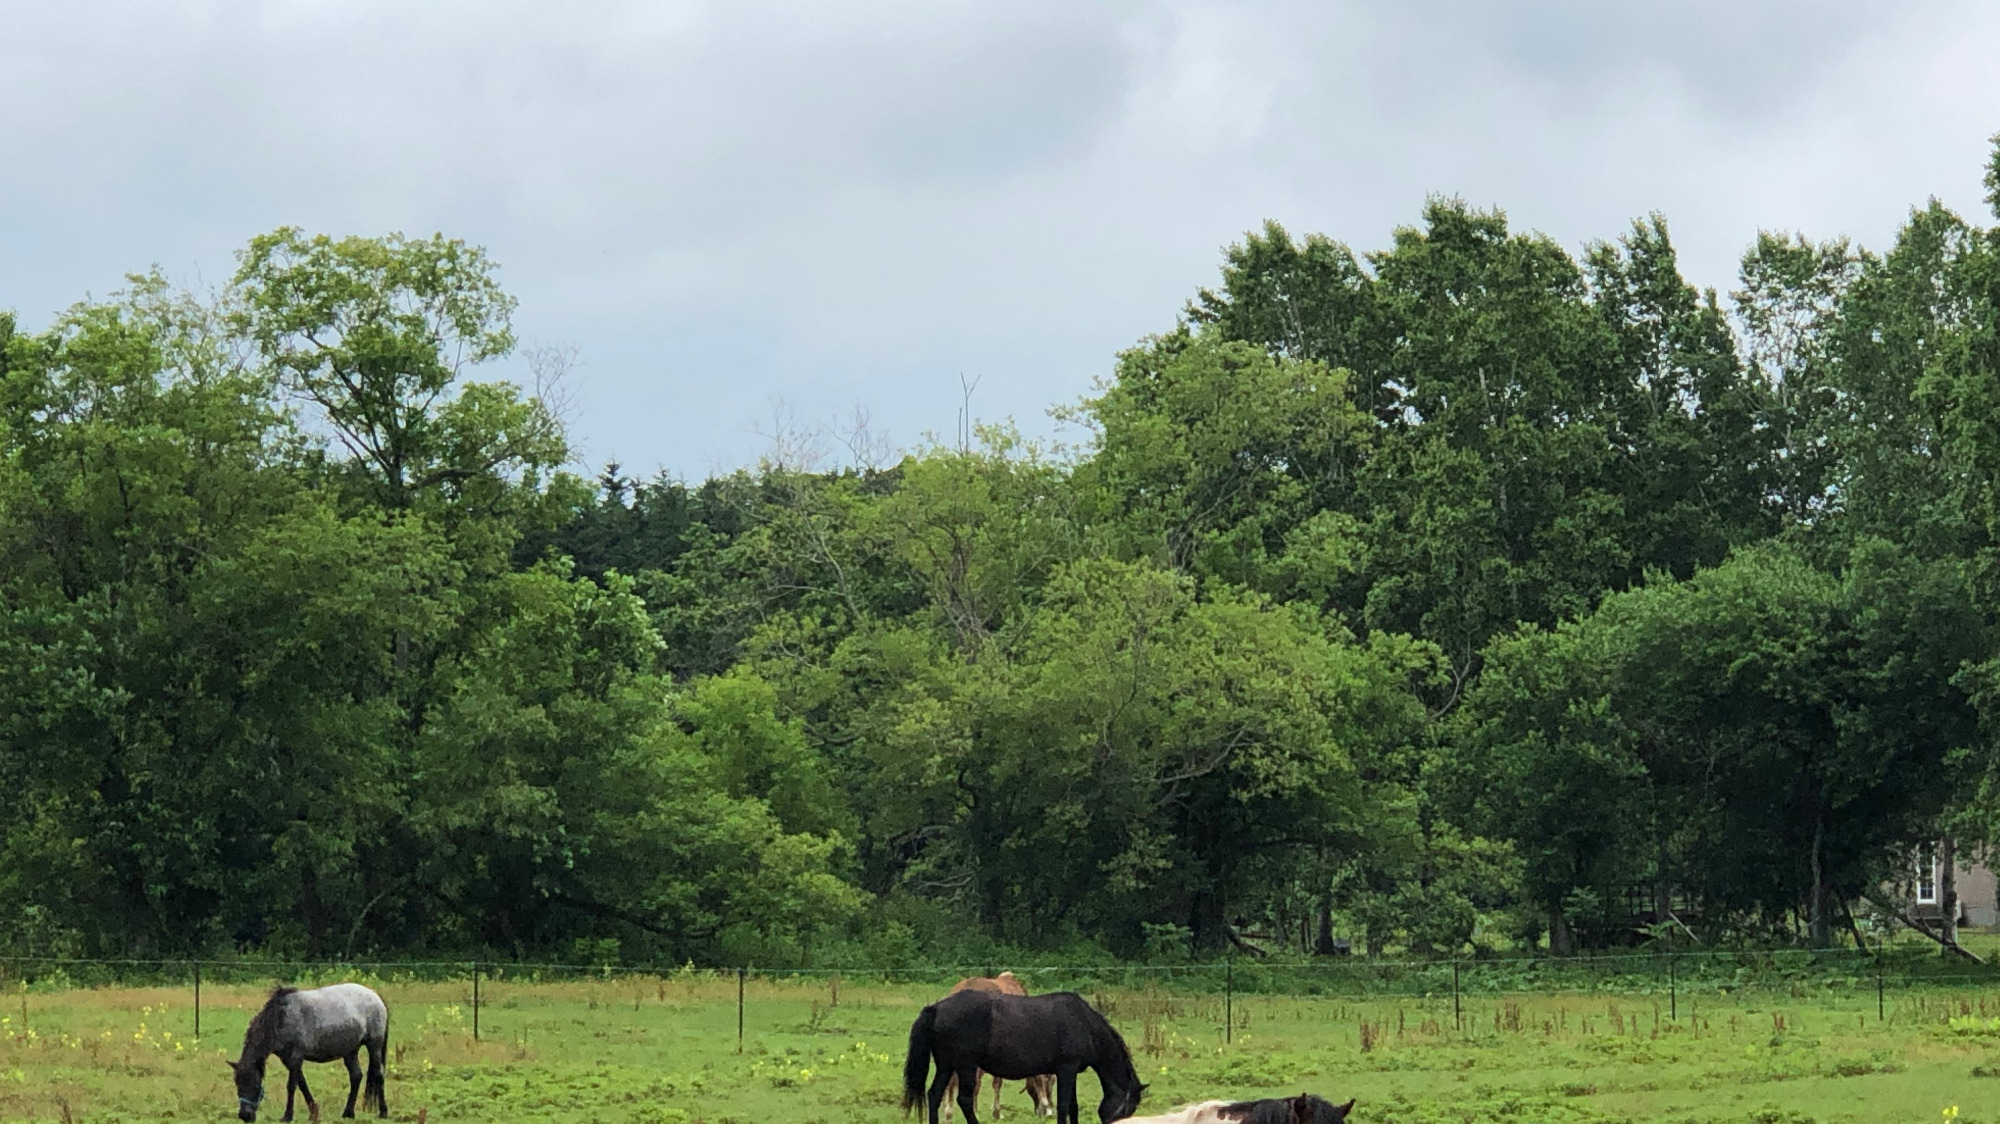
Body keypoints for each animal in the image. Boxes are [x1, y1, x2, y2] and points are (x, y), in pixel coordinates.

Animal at [227, 976, 390, 1112]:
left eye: (255, 1084)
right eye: (237, 1083)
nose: (245, 1116)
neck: (280, 1018)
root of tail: (376, 997)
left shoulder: (296, 1057)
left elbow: (292, 1086)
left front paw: (287, 1115)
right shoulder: (288, 1059)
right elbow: (302, 1083)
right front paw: (313, 1111)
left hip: (374, 1046)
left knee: (379, 1075)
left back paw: (383, 1111)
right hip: (350, 1051)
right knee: (356, 1076)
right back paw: (348, 1113)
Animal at [904, 984, 1144, 1120]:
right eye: (1128, 1108)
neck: (1083, 1022)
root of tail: (936, 1008)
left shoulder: (1070, 1071)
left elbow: (1073, 1107)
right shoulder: (1066, 1069)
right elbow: (1064, 1106)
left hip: (946, 1065)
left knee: (934, 1095)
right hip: (965, 1066)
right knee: (964, 1099)